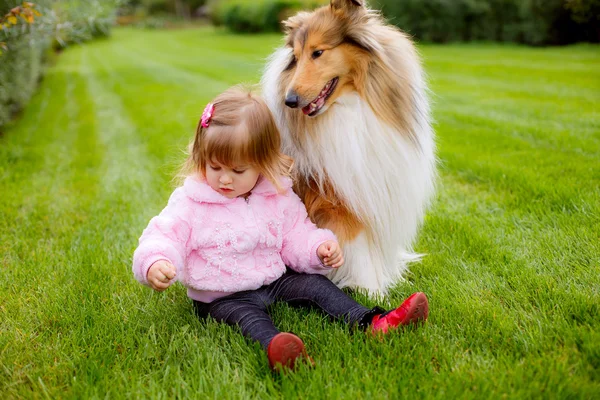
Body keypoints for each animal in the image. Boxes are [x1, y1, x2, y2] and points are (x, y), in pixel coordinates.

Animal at [262, 0, 436, 294]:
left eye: (318, 52)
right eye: (295, 57)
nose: (290, 101)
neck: (351, 106)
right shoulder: (338, 200)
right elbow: (357, 244)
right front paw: (371, 289)